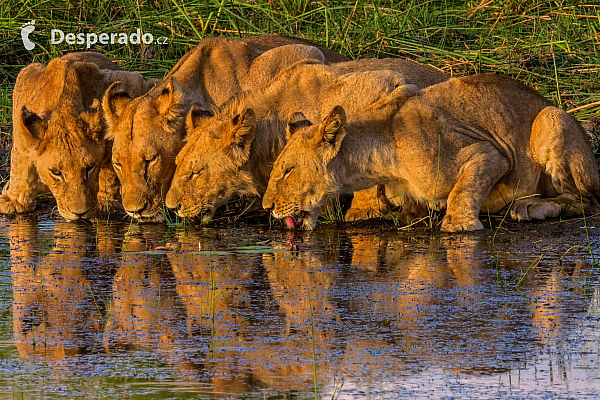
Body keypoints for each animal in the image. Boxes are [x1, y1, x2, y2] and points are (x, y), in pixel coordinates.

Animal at [0, 51, 155, 220]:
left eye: (89, 167)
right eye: (56, 172)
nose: (80, 214)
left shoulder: (130, 81)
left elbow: (110, 168)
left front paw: (106, 202)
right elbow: (19, 164)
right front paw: (14, 201)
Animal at [264, 73, 600, 233]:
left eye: (287, 171)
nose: (267, 207)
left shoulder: (489, 152)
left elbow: (464, 189)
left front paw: (459, 224)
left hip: (551, 117)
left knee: (586, 201)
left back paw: (529, 207)